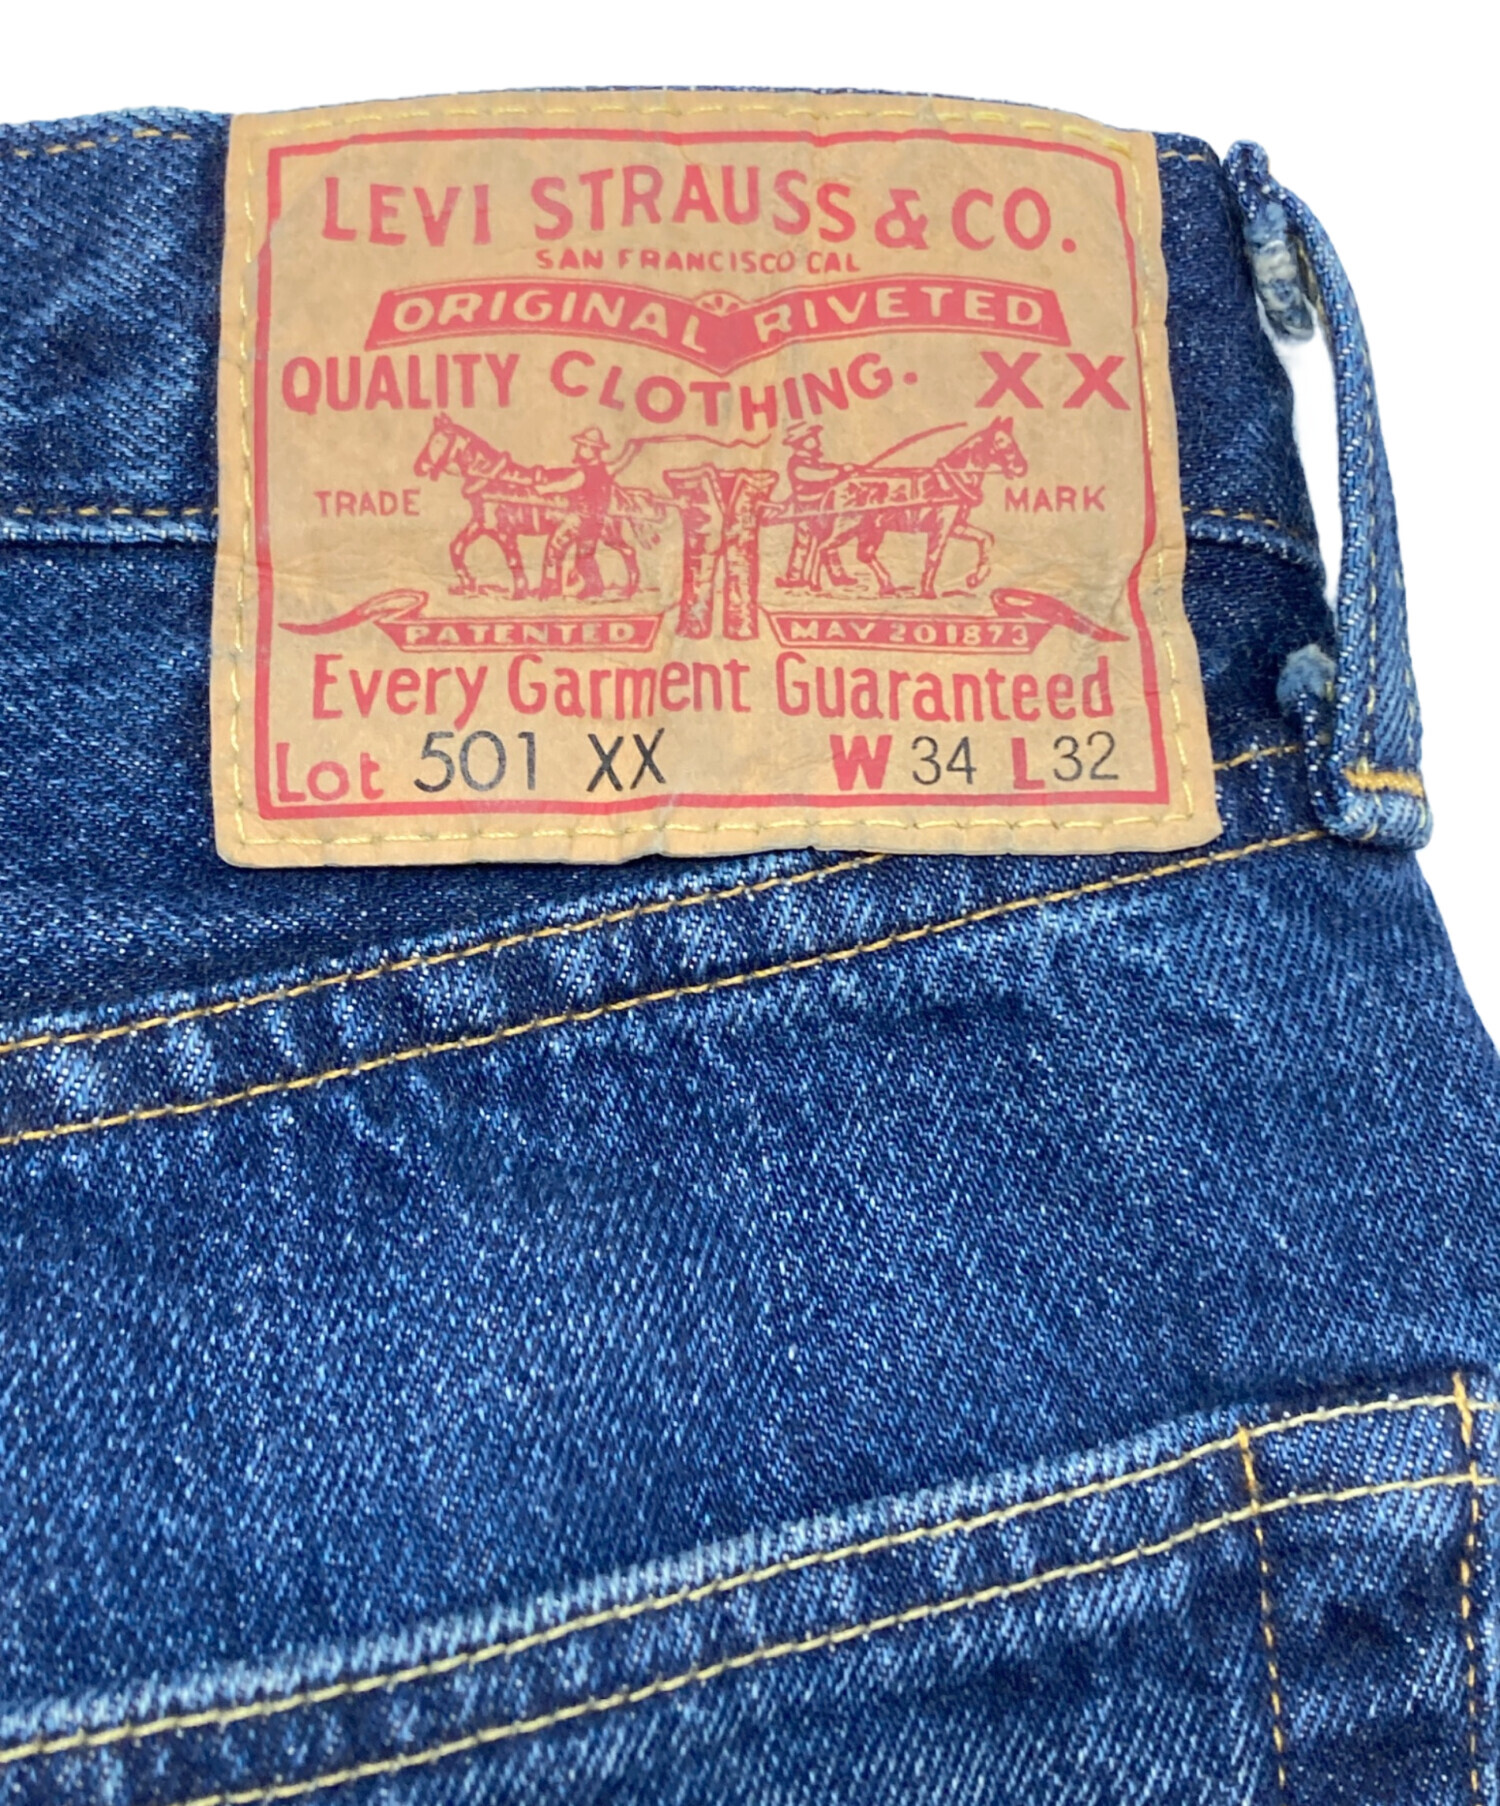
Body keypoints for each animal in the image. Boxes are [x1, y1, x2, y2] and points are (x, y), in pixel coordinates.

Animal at [413, 414, 652, 599]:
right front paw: (468, 584)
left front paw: (519, 593)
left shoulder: (504, 532)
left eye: (437, 441)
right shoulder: (480, 524)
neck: (491, 478)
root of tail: (614, 484)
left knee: (619, 551)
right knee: (612, 553)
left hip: (602, 532)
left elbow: (513, 561)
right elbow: (456, 547)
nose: (418, 467)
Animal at [804, 417, 1029, 600]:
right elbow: (934, 556)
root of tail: (835, 486)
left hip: (872, 530)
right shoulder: (941, 527)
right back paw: (815, 585)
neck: (952, 481)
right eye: (1003, 444)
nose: (1022, 468)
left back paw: (887, 586)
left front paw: (975, 579)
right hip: (847, 526)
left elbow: (985, 538)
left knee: (862, 554)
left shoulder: (956, 525)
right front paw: (928, 591)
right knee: (823, 546)